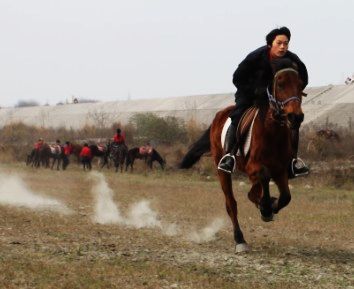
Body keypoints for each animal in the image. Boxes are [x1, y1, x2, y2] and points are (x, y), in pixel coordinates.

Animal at [180, 58, 304, 252]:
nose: (295, 117)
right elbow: (263, 176)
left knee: (255, 192)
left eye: (300, 84)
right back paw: (240, 239)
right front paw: (266, 208)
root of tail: (219, 115)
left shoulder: (281, 170)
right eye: (281, 84)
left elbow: (285, 197)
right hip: (222, 169)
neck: (272, 131)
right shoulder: (254, 167)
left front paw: (270, 206)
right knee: (231, 203)